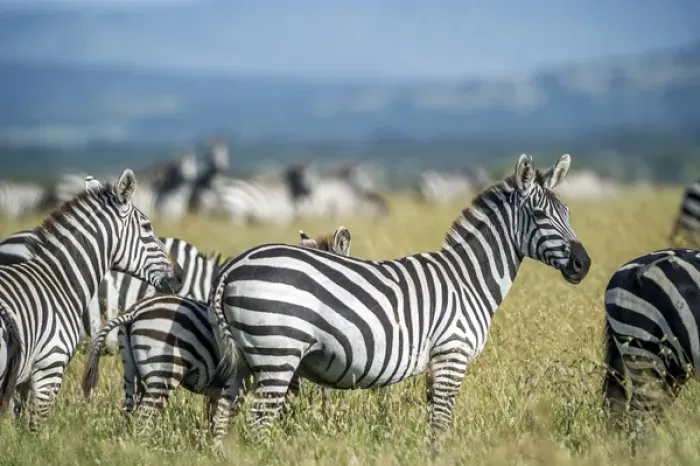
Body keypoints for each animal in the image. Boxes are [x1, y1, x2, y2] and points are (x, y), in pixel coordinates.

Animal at [0, 170, 182, 430]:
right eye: (148, 227)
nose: (178, 280)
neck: (57, 280)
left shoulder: (20, 380)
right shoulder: (49, 368)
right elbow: (36, 430)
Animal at [81, 226, 352, 442]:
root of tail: (133, 313)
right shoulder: (282, 366)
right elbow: (284, 406)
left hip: (131, 371)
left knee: (129, 413)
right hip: (160, 370)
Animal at [206, 153, 592, 442]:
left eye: (568, 213)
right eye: (539, 215)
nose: (583, 264)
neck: (468, 280)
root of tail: (234, 266)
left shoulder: (436, 362)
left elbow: (433, 420)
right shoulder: (452, 354)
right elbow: (441, 423)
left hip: (244, 360)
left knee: (223, 416)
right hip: (278, 352)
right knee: (259, 421)